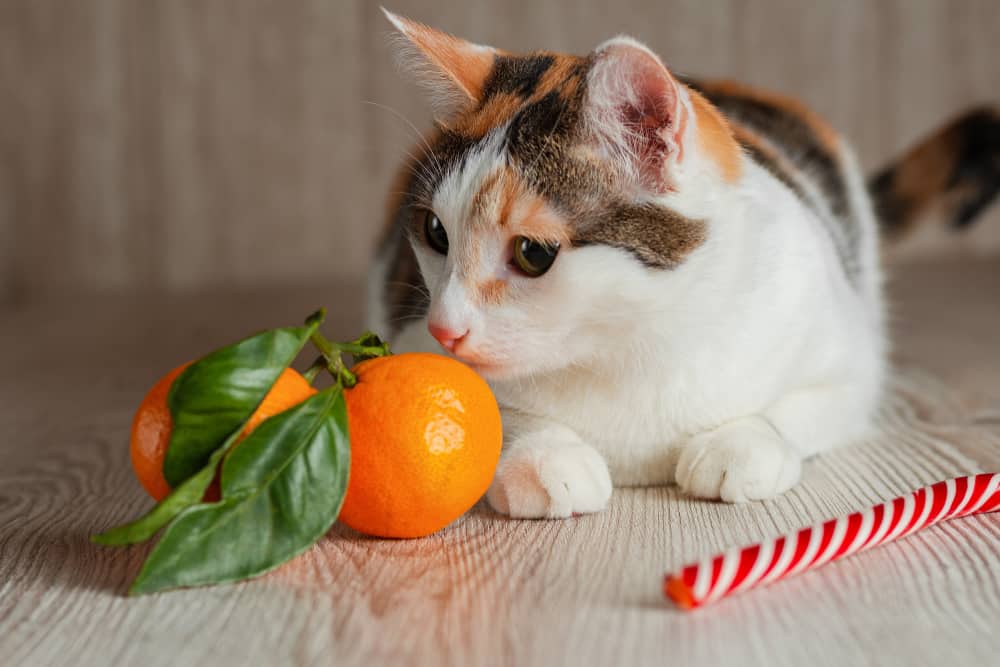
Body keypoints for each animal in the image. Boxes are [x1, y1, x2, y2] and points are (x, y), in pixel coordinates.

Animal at [368, 11, 1000, 520]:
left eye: (533, 254)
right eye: (435, 233)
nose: (446, 328)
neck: (630, 347)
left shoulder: (851, 362)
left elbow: (802, 406)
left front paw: (742, 444)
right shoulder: (408, 337)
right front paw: (544, 459)